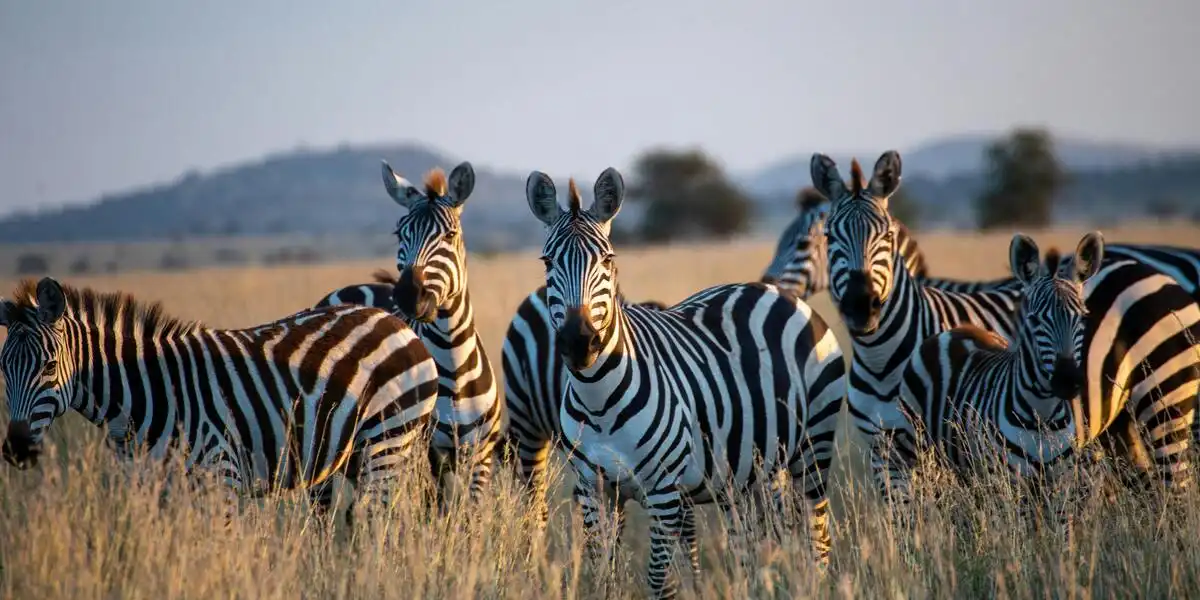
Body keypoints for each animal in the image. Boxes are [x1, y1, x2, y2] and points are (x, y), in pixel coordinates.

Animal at [0, 276, 439, 523]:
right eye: (2, 369)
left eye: (50, 366)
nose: (16, 449)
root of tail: (395, 320)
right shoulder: (148, 489)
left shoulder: (220, 477)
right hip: (358, 452)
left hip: (387, 439)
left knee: (380, 519)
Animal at [315, 161, 504, 510]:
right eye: (399, 233)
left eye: (450, 235)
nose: (407, 295)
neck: (454, 365)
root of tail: (352, 288)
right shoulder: (423, 455)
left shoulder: (479, 456)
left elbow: (468, 515)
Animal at [525, 168, 846, 598]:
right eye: (548, 262)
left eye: (608, 260)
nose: (579, 342)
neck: (599, 399)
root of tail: (776, 291)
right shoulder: (593, 490)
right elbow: (602, 576)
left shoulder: (663, 492)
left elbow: (658, 581)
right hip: (753, 470)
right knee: (758, 543)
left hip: (814, 446)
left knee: (817, 538)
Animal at [890, 232, 1100, 512]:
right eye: (1034, 320)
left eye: (1083, 318)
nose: (1067, 381)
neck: (1042, 416)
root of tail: (955, 330)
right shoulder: (1010, 485)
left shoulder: (1061, 486)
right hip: (913, 447)